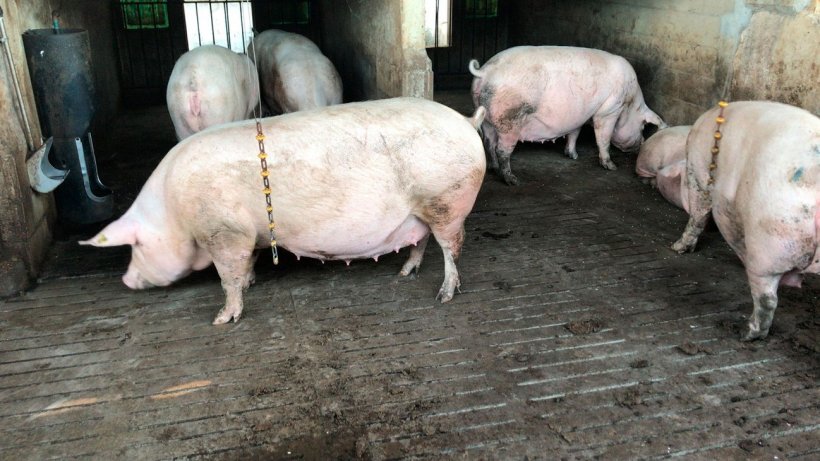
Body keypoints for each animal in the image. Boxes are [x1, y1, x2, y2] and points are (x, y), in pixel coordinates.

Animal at [79, 99, 486, 326]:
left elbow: (227, 276)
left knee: (452, 246)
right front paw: (250, 282)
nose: (126, 280)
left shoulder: (224, 232)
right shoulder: (248, 234)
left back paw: (444, 296)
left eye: (136, 246)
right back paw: (405, 273)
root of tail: (468, 121)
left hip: (446, 200)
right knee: (422, 241)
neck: (174, 214)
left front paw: (221, 320)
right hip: (420, 211)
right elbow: (247, 263)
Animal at [468, 45, 668, 184]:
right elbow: (603, 138)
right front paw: (611, 167)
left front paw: (573, 155)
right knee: (502, 150)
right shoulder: (609, 110)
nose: (642, 143)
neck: (630, 103)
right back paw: (512, 180)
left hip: (486, 117)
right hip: (510, 120)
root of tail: (485, 70)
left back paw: (493, 168)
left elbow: (574, 133)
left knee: (488, 142)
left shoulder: (578, 117)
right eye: (642, 126)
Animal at [672, 100, 820, 338]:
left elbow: (698, 214)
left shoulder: (699, 173)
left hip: (770, 245)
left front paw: (677, 248)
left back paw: (747, 333)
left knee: (767, 299)